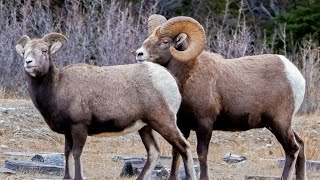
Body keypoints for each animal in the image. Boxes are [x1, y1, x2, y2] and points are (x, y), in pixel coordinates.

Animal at [16, 32, 196, 180]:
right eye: (24, 52)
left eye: (44, 50)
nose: (28, 62)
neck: (57, 87)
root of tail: (169, 79)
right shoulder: (68, 132)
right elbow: (67, 153)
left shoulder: (79, 128)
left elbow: (76, 153)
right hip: (146, 127)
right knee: (154, 152)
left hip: (163, 122)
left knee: (184, 147)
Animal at [134, 15, 306, 180]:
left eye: (165, 41)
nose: (139, 54)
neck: (186, 76)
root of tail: (295, 74)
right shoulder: (182, 126)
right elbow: (177, 152)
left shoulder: (205, 125)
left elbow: (202, 153)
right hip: (279, 124)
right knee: (301, 144)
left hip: (280, 123)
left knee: (292, 149)